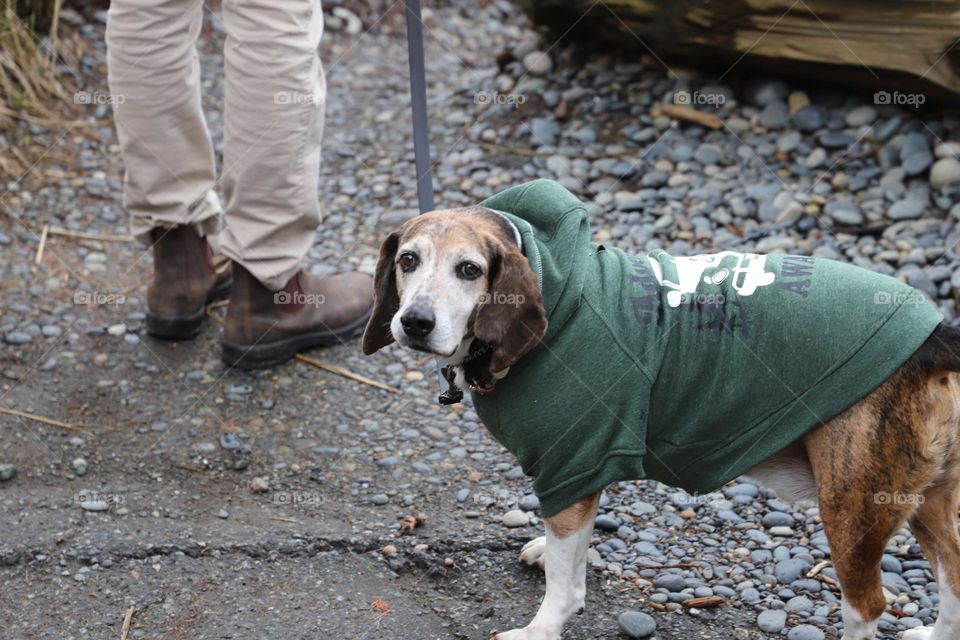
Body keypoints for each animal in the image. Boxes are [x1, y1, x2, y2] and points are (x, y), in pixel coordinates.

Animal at [362, 180, 960, 640]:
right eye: (408, 260)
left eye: (469, 270)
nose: (414, 322)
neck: (552, 279)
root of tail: (934, 335)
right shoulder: (584, 470)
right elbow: (570, 557)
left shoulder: (569, 466)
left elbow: (564, 584)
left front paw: (541, 630)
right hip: (925, 501)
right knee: (954, 577)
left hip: (852, 508)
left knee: (867, 606)